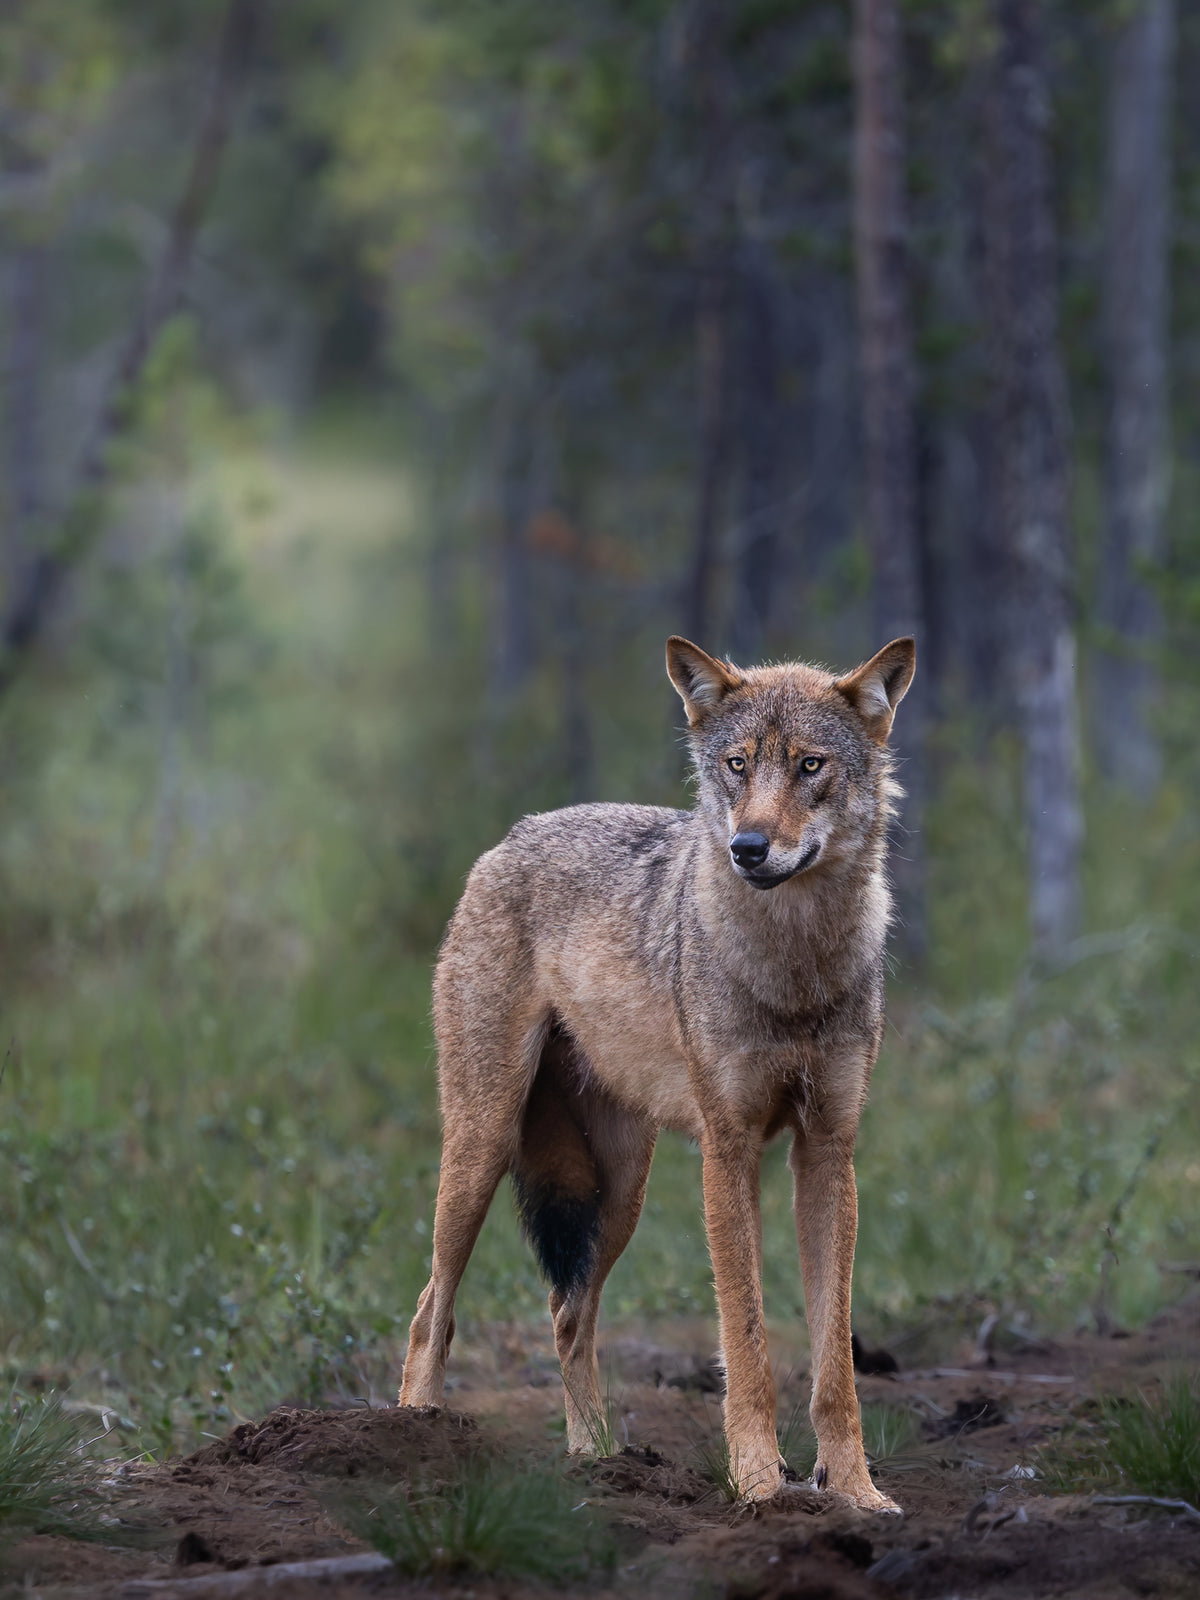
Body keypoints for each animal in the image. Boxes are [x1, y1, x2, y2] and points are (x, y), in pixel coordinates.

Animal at [398, 634, 915, 1510]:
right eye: (738, 765)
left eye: (809, 766)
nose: (748, 848)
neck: (793, 969)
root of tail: (512, 836)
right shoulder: (728, 1150)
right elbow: (746, 1340)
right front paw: (759, 1485)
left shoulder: (827, 1153)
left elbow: (834, 1366)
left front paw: (854, 1494)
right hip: (482, 1146)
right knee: (432, 1308)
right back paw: (414, 1441)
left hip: (619, 1194)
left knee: (567, 1314)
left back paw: (597, 1463)